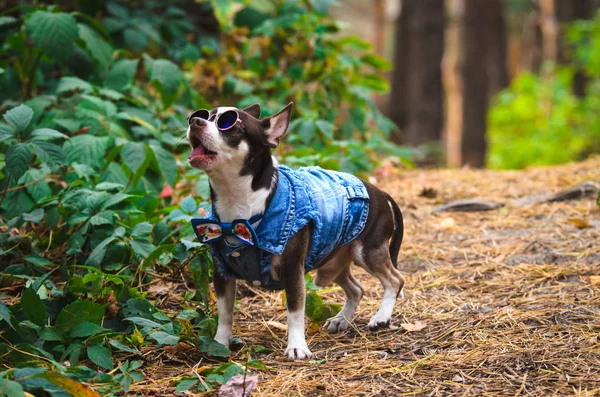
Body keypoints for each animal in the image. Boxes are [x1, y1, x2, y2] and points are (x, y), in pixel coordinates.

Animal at [185, 103, 406, 358]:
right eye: (202, 115)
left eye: (229, 124)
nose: (195, 122)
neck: (238, 207)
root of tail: (379, 191)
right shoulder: (222, 273)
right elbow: (225, 314)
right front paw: (219, 344)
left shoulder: (293, 270)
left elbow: (295, 312)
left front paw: (297, 346)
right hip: (333, 264)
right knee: (356, 289)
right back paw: (341, 319)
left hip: (367, 252)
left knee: (395, 280)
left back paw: (381, 317)